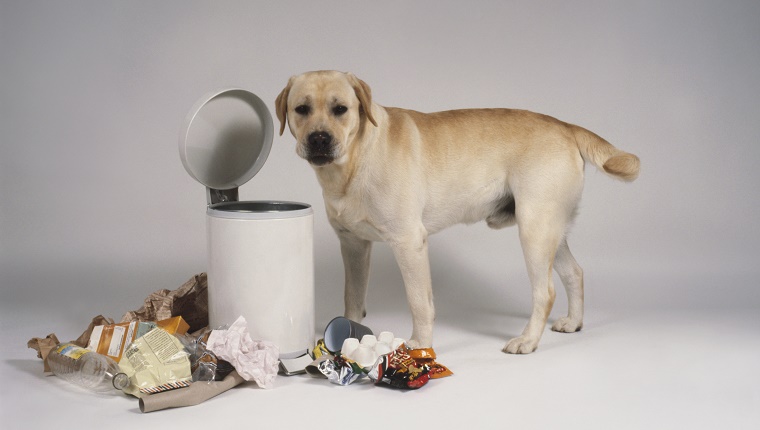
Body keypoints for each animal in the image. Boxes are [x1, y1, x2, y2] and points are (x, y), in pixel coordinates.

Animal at [276, 70, 640, 352]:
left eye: (340, 109)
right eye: (301, 109)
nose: (319, 139)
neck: (353, 162)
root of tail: (564, 125)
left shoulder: (408, 243)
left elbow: (419, 302)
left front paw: (420, 345)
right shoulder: (353, 245)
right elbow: (352, 299)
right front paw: (347, 342)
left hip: (534, 230)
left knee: (545, 291)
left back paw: (527, 340)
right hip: (551, 229)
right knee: (574, 273)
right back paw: (574, 322)